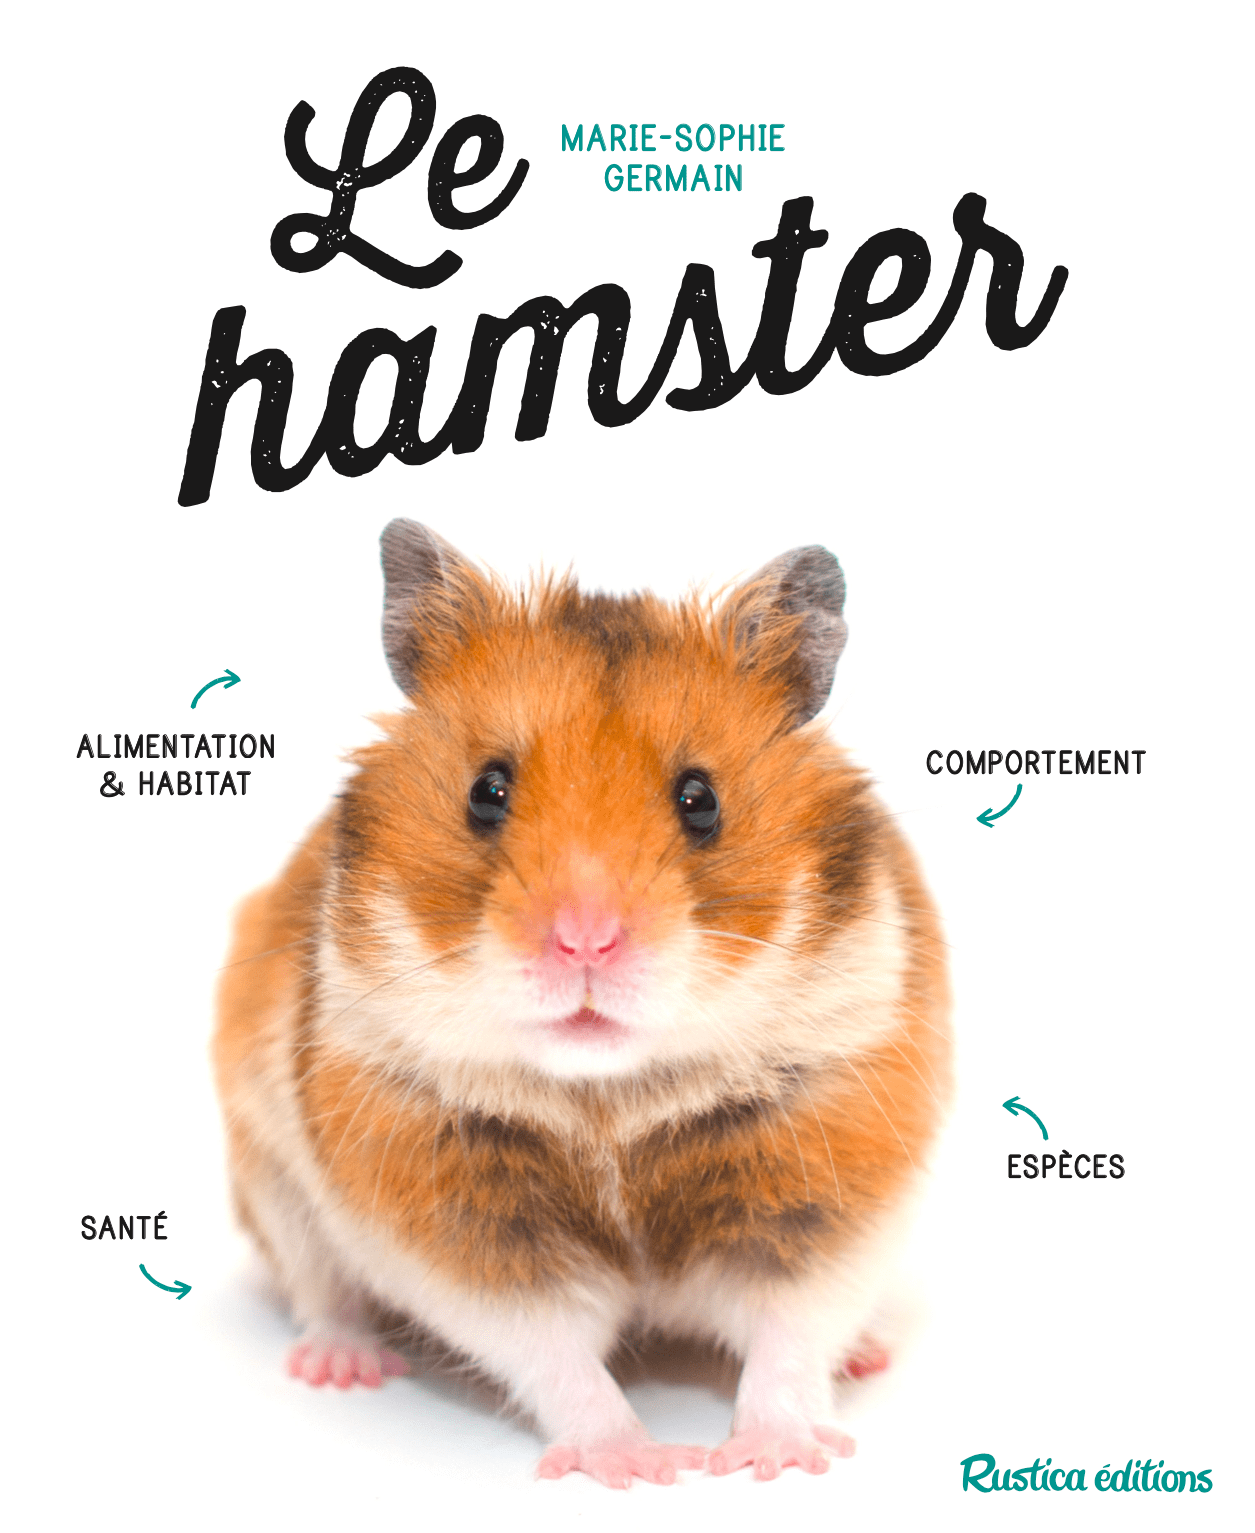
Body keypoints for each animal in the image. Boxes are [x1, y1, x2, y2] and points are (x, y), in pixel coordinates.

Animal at [214, 519, 951, 1487]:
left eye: (700, 799)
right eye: (486, 791)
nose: (585, 941)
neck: (612, 1098)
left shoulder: (829, 1183)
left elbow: (789, 1335)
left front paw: (777, 1459)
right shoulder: (457, 1218)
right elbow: (556, 1353)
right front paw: (641, 1464)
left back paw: (866, 1353)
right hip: (270, 1180)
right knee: (321, 1290)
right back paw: (343, 1365)